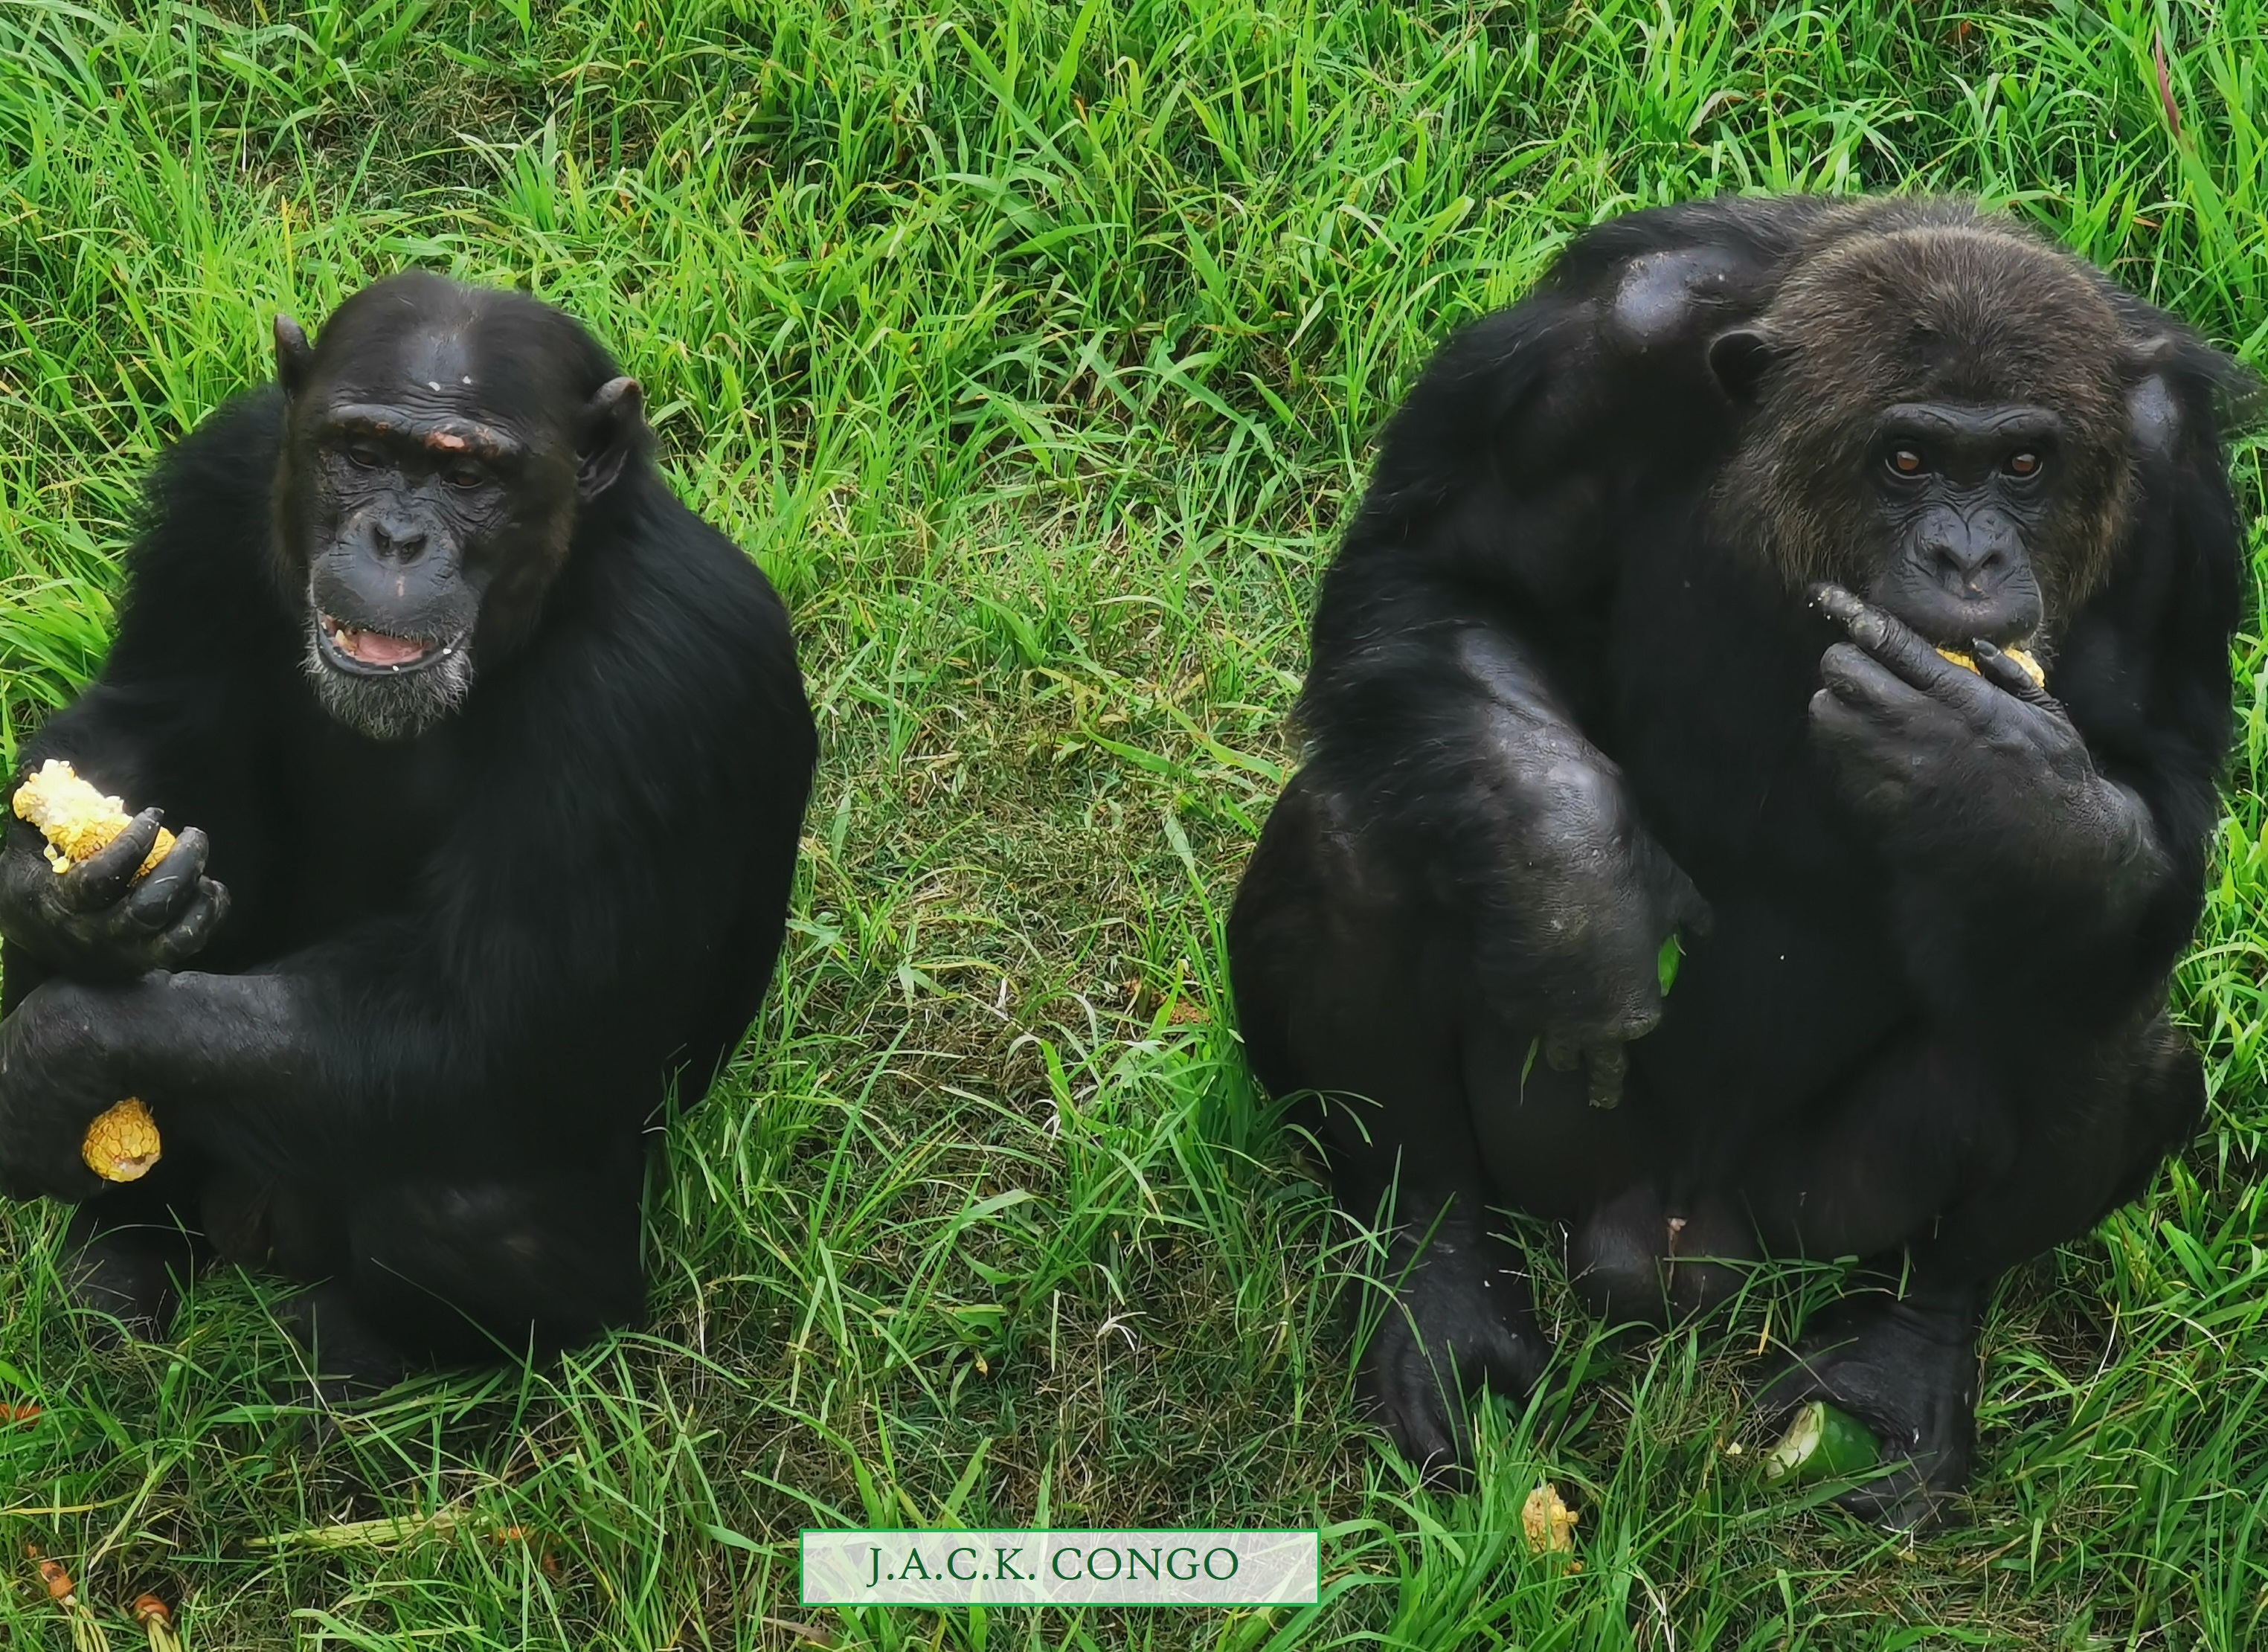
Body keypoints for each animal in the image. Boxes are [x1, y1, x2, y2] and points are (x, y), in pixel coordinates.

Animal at [0, 274, 816, 1379]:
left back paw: (364, 1352)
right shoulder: (215, 484)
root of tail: (257, 1234)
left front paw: (57, 1054)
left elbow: (488, 1024)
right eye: (362, 451)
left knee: (462, 1204)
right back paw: (122, 1257)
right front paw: (64, 900)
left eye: (469, 475)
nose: (397, 539)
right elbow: (151, 709)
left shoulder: (664, 677)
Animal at [1233, 199, 2258, 1525]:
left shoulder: (2174, 485)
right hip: (1553, 1142)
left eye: (2024, 466)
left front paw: (2001, 779)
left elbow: (2160, 783)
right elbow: (1451, 573)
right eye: (1909, 460)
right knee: (1354, 837)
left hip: (1825, 1209)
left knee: (2089, 1014)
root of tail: (1670, 1243)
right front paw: (1577, 887)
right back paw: (1440, 1295)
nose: (1969, 560)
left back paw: (1902, 1357)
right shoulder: (1583, 356)